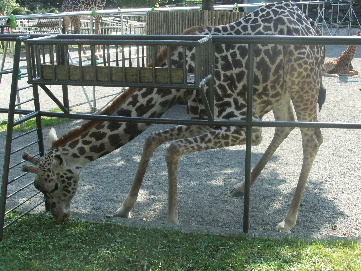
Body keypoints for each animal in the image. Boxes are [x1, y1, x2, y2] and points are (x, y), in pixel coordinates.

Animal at [22, 2, 324, 233]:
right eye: (36, 186)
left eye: (52, 183)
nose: (58, 215)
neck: (176, 82)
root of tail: (311, 24)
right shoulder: (202, 119)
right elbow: (153, 140)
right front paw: (124, 208)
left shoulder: (241, 126)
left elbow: (172, 149)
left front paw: (171, 220)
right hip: (279, 90)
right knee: (286, 125)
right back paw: (241, 187)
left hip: (303, 81)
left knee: (313, 137)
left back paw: (288, 220)